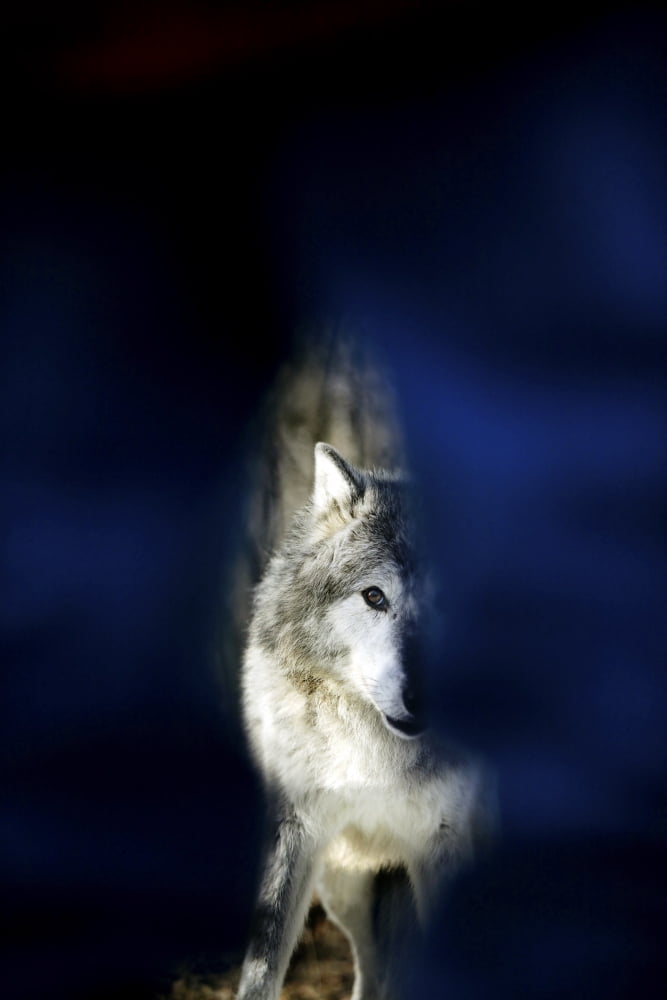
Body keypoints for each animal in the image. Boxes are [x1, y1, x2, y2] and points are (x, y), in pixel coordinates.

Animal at [234, 337, 491, 1000]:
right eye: (375, 597)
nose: (425, 699)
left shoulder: (445, 843)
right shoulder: (293, 830)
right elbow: (261, 969)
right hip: (345, 887)